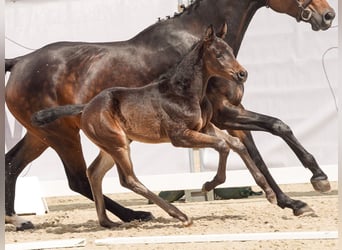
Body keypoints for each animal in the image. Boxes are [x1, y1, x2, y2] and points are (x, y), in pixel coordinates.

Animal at [32, 24, 276, 227]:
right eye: (218, 54)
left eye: (232, 52)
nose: (242, 74)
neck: (184, 91)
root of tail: (85, 107)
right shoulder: (180, 136)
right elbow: (223, 146)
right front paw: (208, 184)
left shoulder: (204, 128)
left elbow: (235, 143)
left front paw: (270, 193)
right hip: (118, 144)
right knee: (129, 180)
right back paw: (180, 215)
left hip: (114, 144)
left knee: (94, 172)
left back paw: (107, 222)